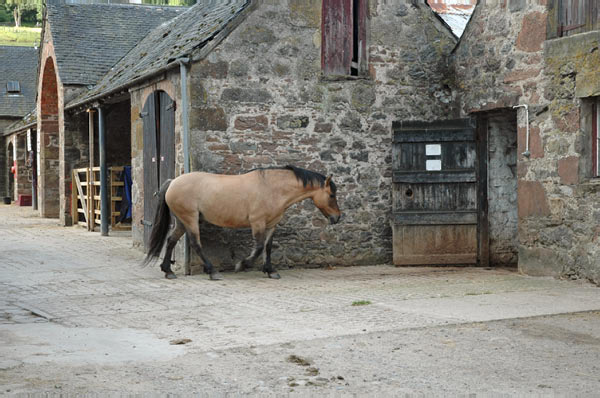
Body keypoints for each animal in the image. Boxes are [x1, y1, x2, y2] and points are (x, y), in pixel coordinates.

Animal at [142, 165, 342, 280]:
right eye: (332, 195)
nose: (337, 217)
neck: (272, 188)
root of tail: (173, 182)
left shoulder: (271, 225)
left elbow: (268, 247)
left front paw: (270, 271)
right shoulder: (257, 223)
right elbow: (259, 247)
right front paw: (242, 265)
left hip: (182, 221)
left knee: (171, 241)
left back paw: (168, 271)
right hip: (190, 219)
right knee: (195, 243)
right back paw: (212, 272)